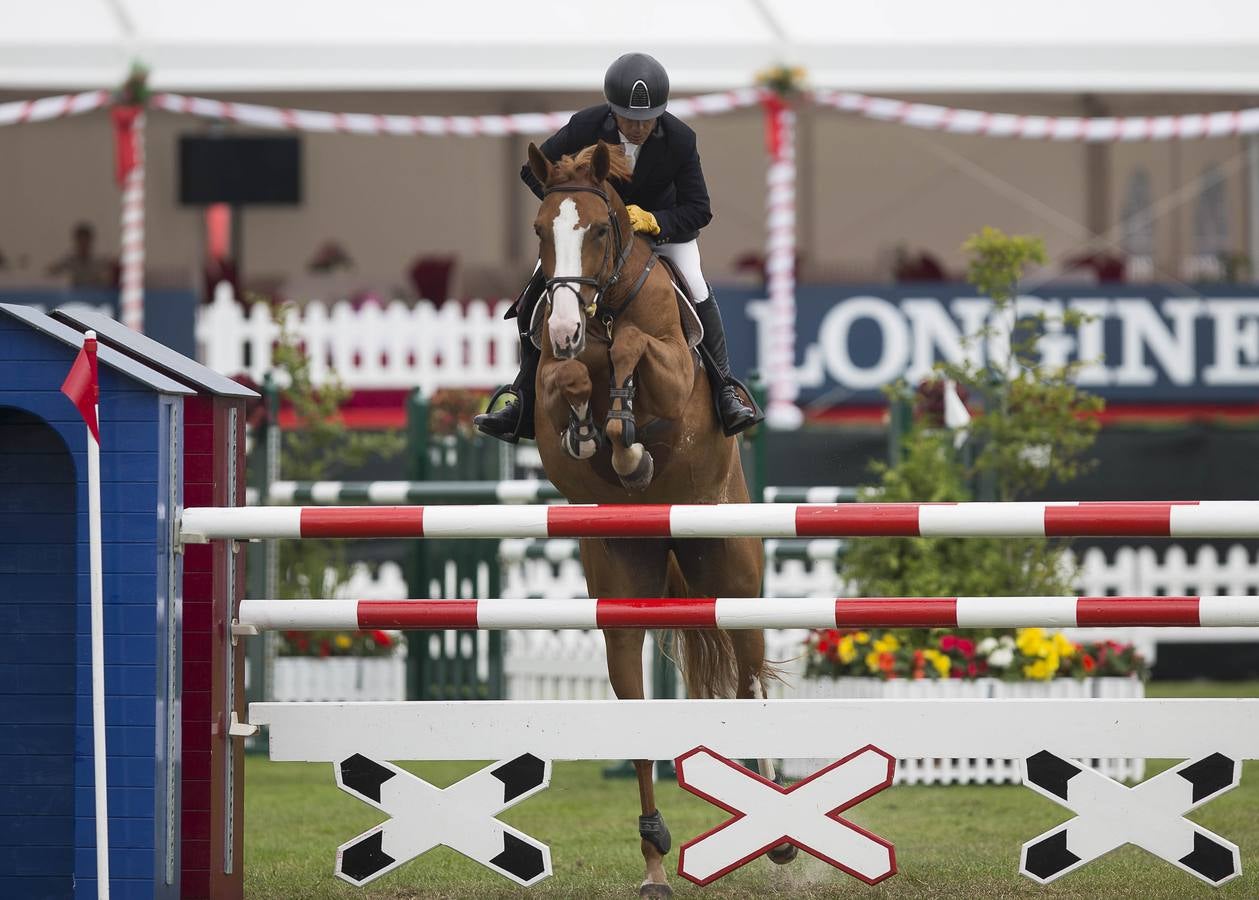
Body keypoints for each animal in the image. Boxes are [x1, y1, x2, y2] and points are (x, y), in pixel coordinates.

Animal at [526, 139, 790, 896]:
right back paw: (653, 860)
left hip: (734, 579)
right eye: (540, 231)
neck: (604, 306)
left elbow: (635, 352)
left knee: (747, 679)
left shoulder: (673, 374)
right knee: (636, 706)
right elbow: (568, 385)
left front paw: (627, 440)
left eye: (598, 230)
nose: (562, 328)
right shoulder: (549, 392)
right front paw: (598, 431)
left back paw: (776, 834)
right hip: (621, 591)